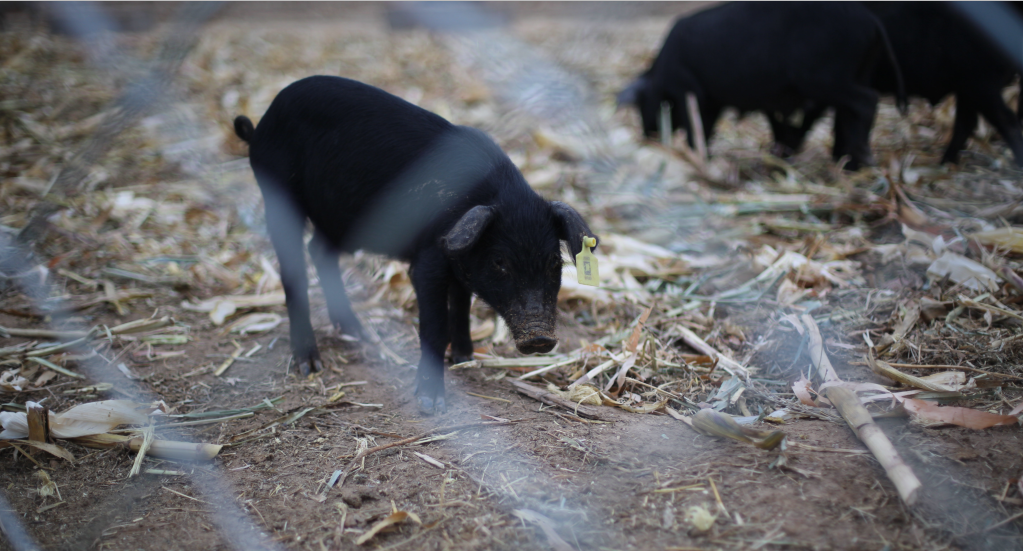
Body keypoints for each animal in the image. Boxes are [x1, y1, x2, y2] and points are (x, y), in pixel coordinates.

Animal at [234, 76, 597, 412]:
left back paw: (359, 333)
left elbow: (461, 306)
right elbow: (434, 327)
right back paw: (310, 365)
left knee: (319, 252)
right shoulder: (427, 262)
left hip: (339, 220)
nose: (540, 338)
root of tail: (260, 126)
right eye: (500, 262)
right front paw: (431, 403)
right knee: (292, 268)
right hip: (278, 196)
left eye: (555, 262)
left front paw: (464, 359)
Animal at [617, 1, 900, 170]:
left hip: (827, 79)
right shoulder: (711, 101)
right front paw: (705, 156)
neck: (661, 73)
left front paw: (697, 154)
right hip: (858, 73)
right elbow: (706, 129)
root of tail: (872, 22)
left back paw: (862, 160)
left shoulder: (689, 89)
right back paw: (847, 162)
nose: (648, 135)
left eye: (642, 103)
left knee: (866, 101)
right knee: (849, 113)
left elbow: (695, 126)